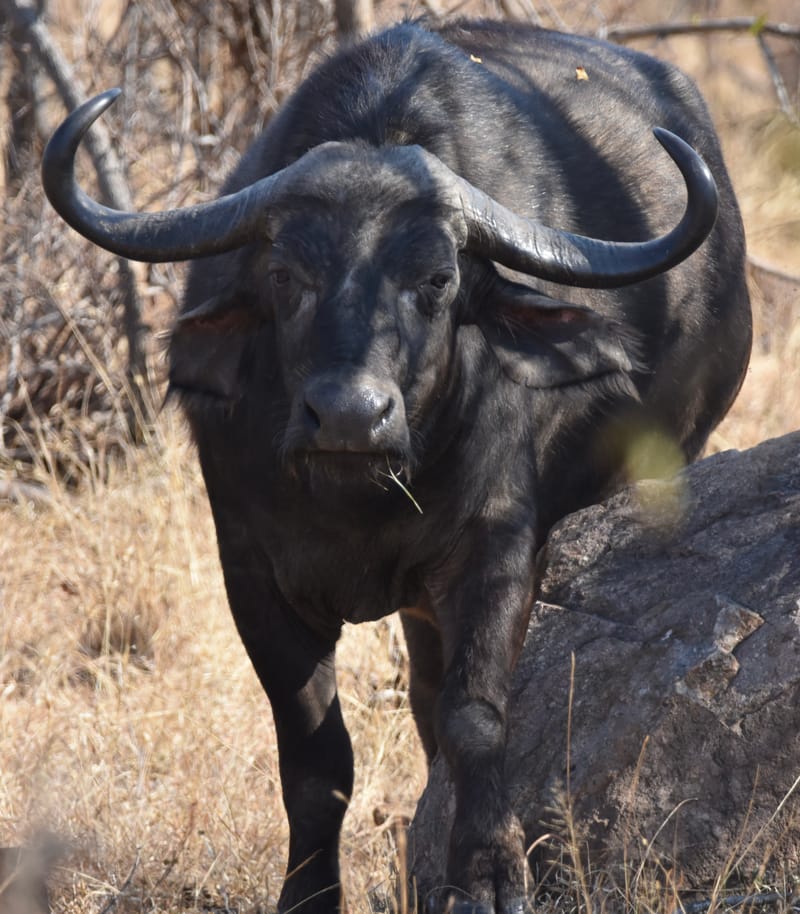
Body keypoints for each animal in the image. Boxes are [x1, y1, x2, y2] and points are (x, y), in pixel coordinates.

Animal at [41, 17, 752, 914]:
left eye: (437, 279)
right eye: (287, 275)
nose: (350, 415)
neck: (361, 499)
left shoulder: (497, 549)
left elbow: (474, 716)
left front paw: (486, 873)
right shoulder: (252, 572)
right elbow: (317, 760)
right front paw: (308, 894)